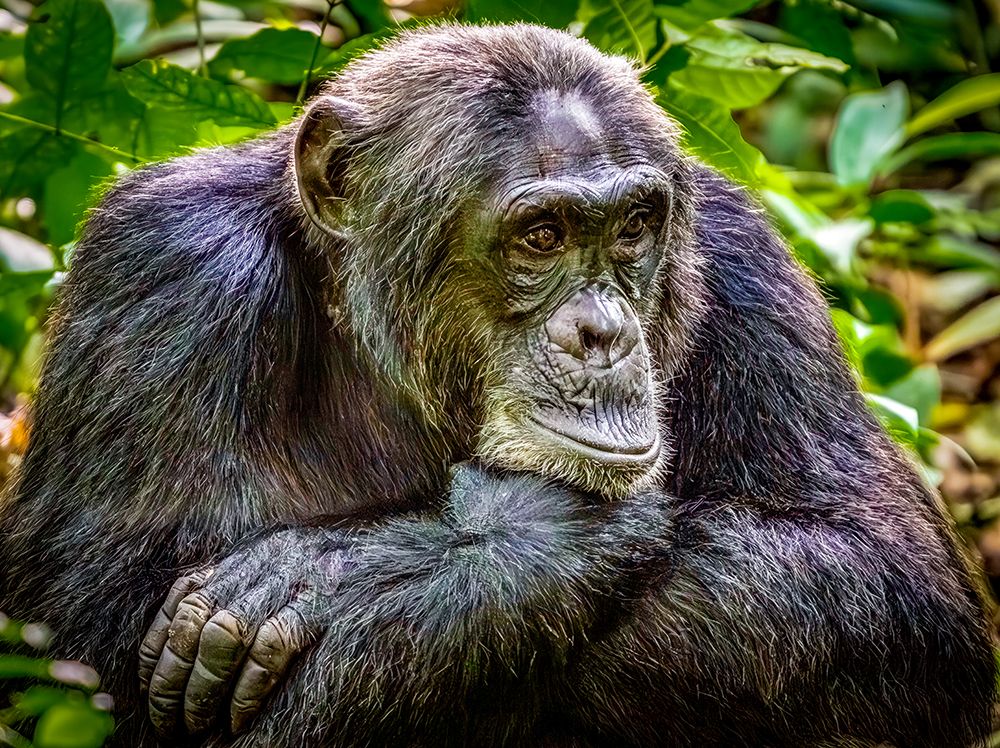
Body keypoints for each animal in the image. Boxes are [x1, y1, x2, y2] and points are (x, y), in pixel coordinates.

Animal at [0, 23, 993, 748]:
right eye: (541, 237)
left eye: (633, 228)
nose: (602, 332)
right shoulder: (168, 267)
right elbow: (84, 644)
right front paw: (524, 539)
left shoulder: (746, 258)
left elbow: (882, 575)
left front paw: (350, 572)